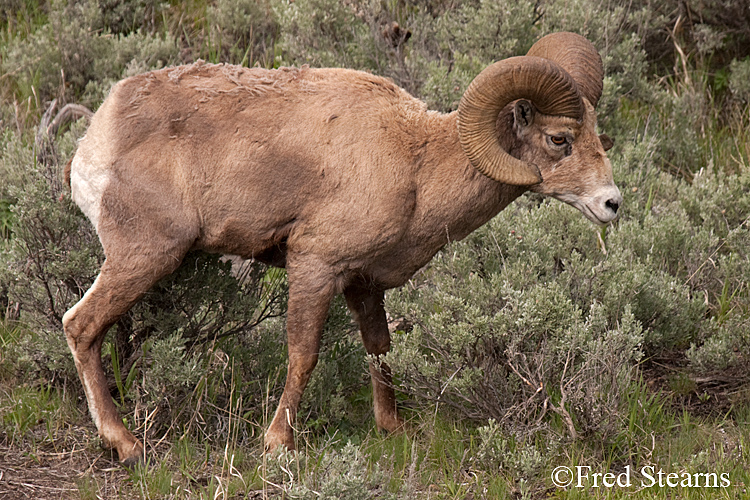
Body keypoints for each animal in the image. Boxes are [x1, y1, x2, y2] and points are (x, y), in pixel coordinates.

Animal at [61, 32, 624, 464]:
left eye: (597, 134)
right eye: (559, 139)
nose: (612, 204)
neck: (416, 164)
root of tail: (98, 138)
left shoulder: (364, 283)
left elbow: (380, 350)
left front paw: (393, 428)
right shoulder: (316, 265)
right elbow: (303, 353)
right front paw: (278, 444)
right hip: (147, 256)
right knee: (80, 326)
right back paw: (127, 446)